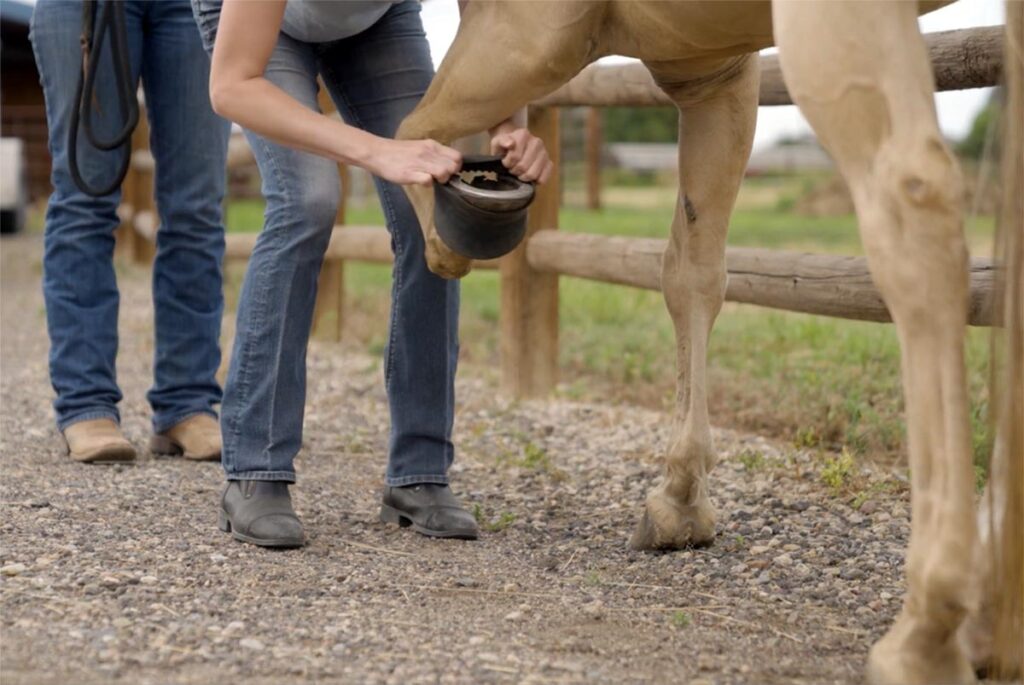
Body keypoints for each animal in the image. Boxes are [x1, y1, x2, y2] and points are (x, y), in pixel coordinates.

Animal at [394, 2, 1023, 682]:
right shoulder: (713, 72)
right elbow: (691, 270)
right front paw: (681, 502)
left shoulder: (525, 35)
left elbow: (411, 132)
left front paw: (447, 236)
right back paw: (991, 618)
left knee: (914, 204)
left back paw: (927, 631)